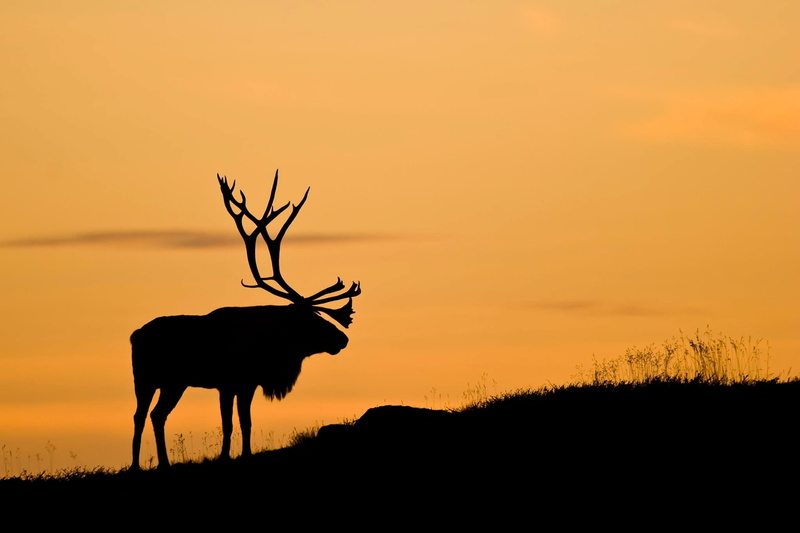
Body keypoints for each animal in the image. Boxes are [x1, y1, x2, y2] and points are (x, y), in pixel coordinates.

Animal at [130, 170, 361, 470]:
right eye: (309, 319)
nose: (342, 339)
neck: (269, 349)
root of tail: (134, 335)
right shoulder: (228, 382)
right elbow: (229, 424)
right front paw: (225, 456)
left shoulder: (247, 383)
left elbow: (246, 422)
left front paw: (245, 454)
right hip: (146, 378)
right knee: (141, 415)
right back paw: (138, 465)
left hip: (173, 382)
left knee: (156, 415)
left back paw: (163, 463)